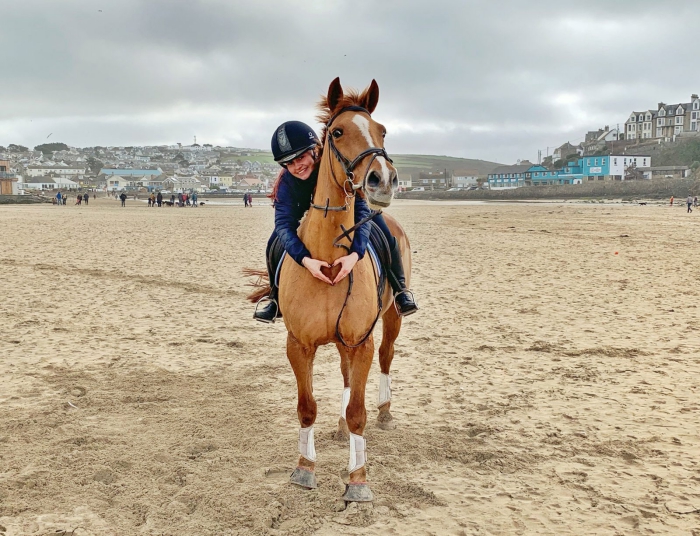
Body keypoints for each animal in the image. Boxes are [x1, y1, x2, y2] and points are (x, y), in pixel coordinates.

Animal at [250, 79, 408, 502]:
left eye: (382, 130)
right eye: (337, 132)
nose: (382, 180)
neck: (329, 258)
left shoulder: (361, 342)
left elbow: (359, 412)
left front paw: (358, 479)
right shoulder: (299, 344)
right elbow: (307, 406)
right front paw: (305, 468)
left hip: (392, 317)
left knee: (385, 360)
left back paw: (386, 411)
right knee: (346, 378)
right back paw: (337, 428)